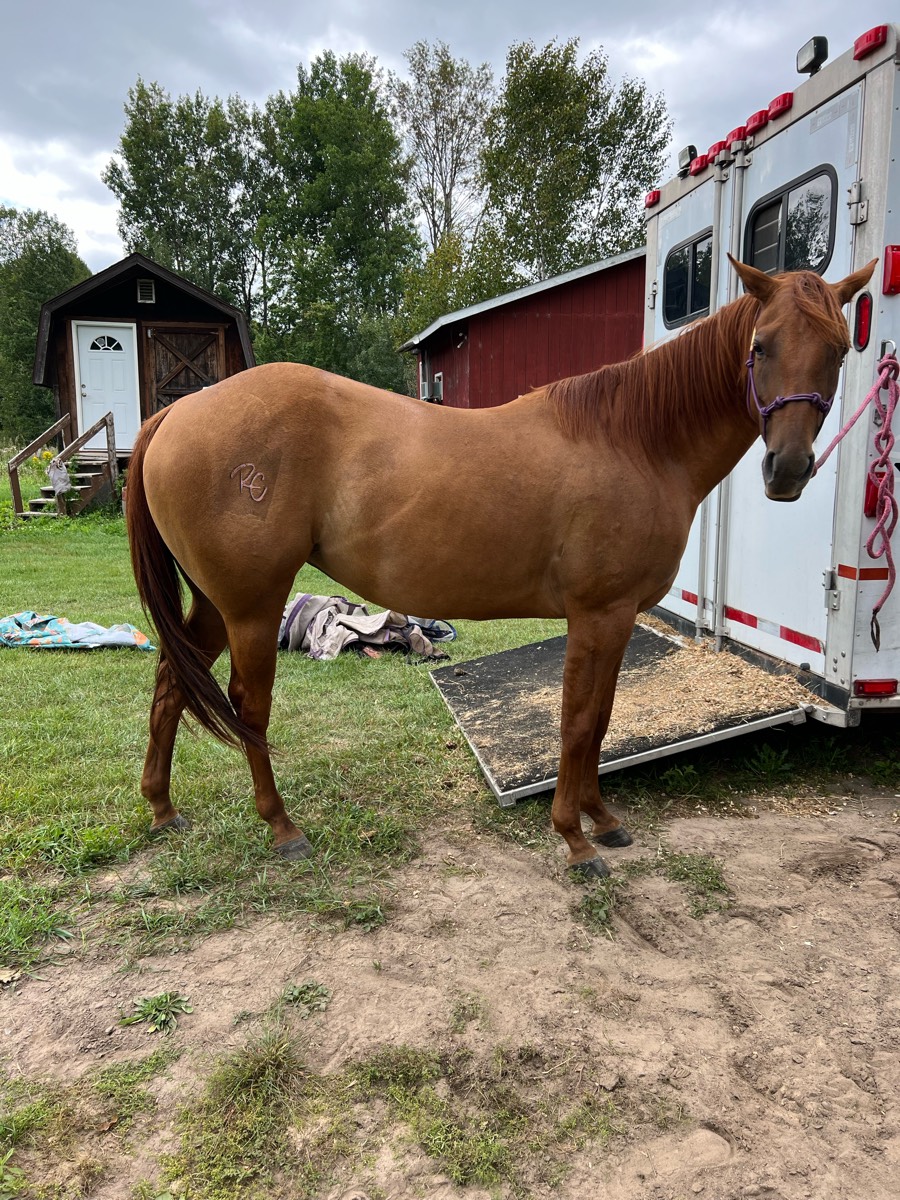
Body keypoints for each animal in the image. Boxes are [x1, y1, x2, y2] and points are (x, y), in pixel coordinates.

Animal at [127, 256, 876, 878]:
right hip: (252, 606)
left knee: (170, 682)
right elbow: (577, 721)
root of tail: (178, 413)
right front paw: (575, 840)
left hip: (216, 604)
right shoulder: (596, 615)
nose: (787, 469)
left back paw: (163, 810)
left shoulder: (617, 619)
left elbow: (601, 719)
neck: (635, 441)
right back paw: (282, 828)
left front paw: (602, 820)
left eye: (840, 350)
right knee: (247, 706)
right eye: (761, 346)